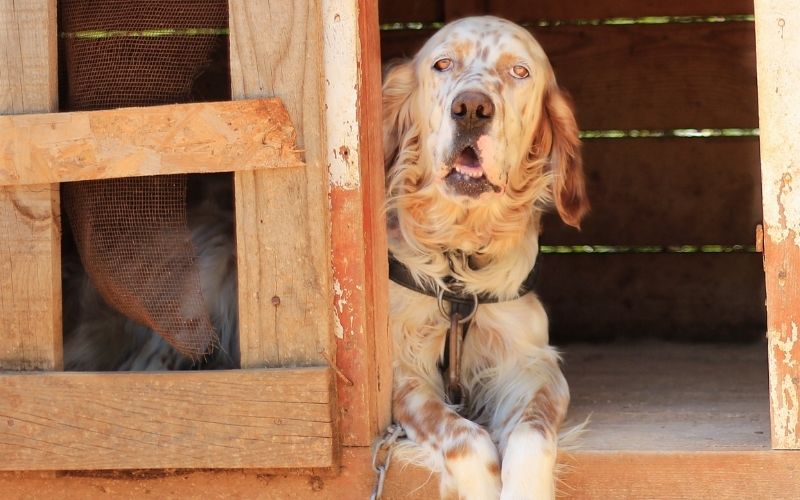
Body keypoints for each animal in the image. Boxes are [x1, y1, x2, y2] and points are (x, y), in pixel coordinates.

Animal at [384, 16, 592, 500]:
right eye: (442, 64)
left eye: (519, 72)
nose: (472, 108)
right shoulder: (403, 372)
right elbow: (466, 437)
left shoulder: (531, 364)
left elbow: (531, 435)